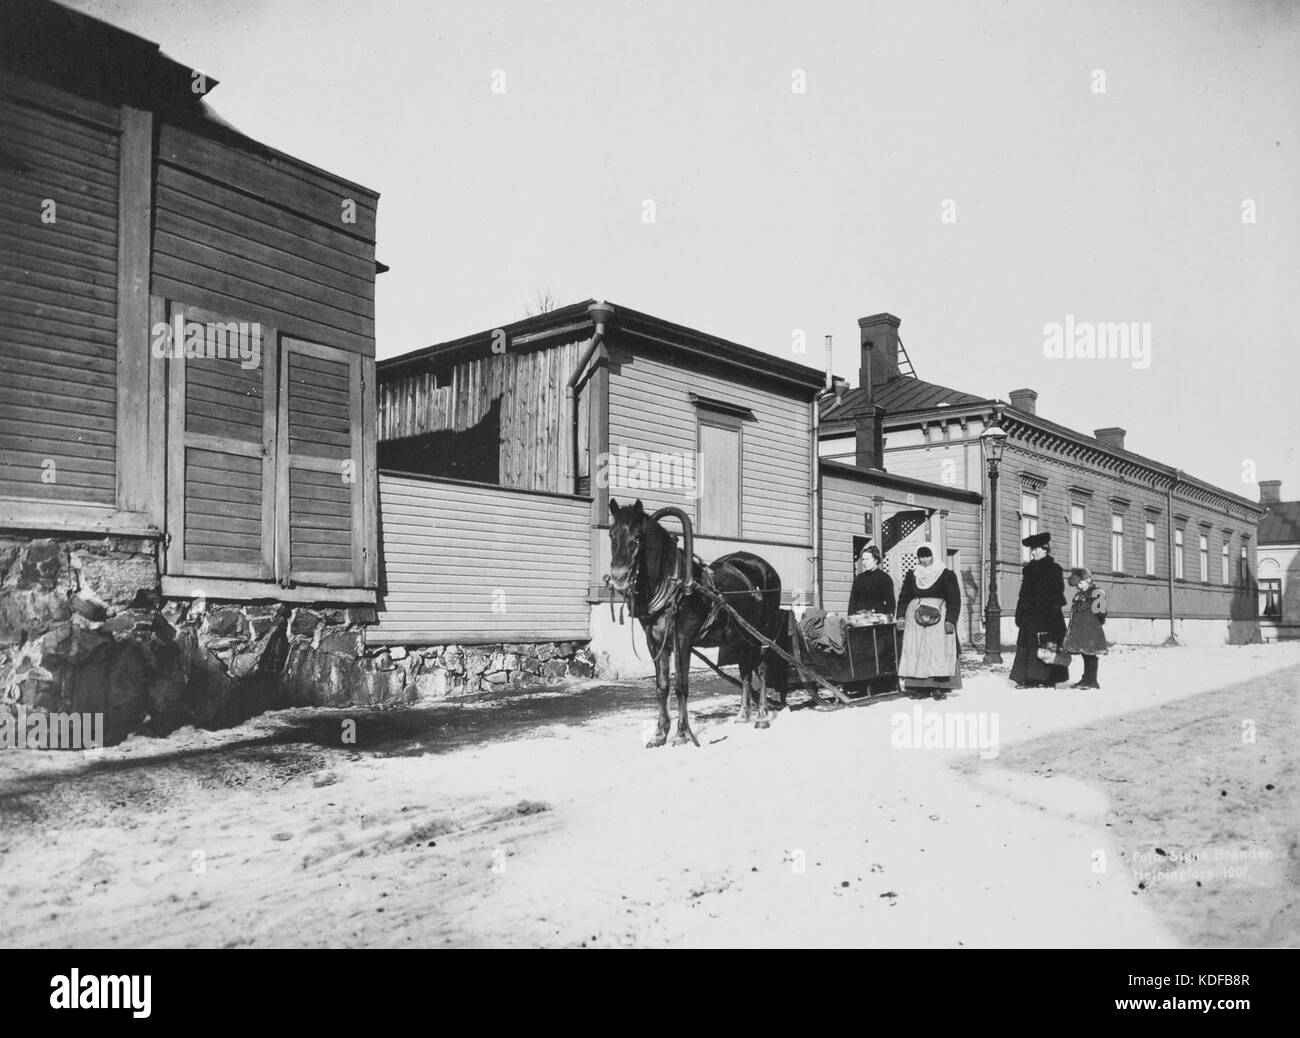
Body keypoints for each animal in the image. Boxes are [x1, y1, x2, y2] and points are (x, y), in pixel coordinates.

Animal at [605, 496, 780, 749]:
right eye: (611, 534)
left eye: (638, 536)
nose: (618, 577)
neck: (673, 583)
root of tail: (765, 568)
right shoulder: (655, 642)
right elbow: (662, 686)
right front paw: (659, 734)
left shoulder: (683, 639)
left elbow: (681, 685)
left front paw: (681, 734)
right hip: (740, 637)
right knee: (746, 671)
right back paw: (742, 714)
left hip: (761, 634)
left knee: (763, 669)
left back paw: (762, 716)